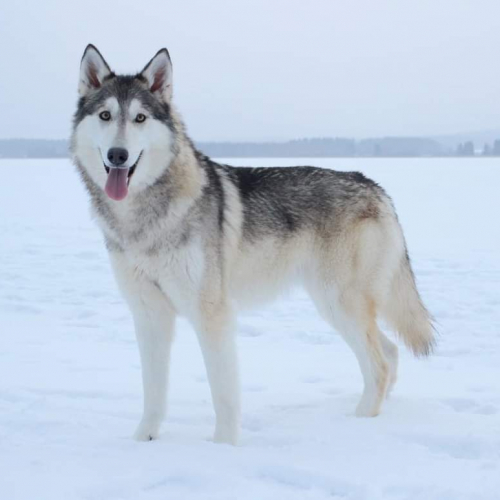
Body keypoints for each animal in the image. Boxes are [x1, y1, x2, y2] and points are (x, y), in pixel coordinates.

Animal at [70, 45, 434, 444]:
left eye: (139, 118)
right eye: (106, 115)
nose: (118, 155)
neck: (144, 220)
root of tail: (373, 184)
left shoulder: (212, 315)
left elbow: (223, 392)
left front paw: (224, 446)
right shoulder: (149, 314)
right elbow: (153, 391)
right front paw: (144, 441)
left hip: (340, 303)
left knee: (380, 363)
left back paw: (360, 422)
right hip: (333, 305)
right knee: (390, 352)